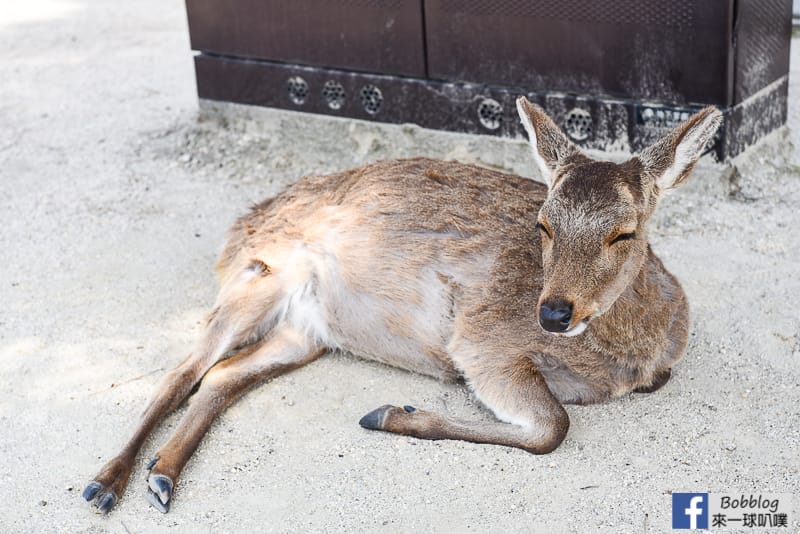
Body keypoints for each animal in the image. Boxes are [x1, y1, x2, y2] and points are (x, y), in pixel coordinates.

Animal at [84, 97, 720, 516]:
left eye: (625, 233)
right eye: (543, 224)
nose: (554, 313)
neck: (630, 358)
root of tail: (243, 223)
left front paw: (390, 413)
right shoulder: (482, 343)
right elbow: (554, 426)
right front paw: (390, 413)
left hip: (305, 333)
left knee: (221, 377)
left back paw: (162, 477)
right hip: (258, 276)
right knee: (181, 372)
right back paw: (106, 484)